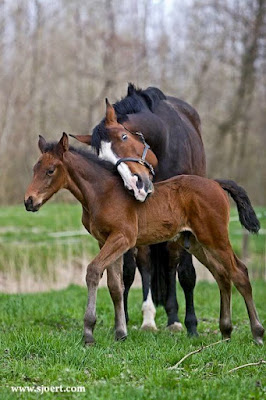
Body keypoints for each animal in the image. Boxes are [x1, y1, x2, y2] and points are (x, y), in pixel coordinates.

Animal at [24, 134, 264, 344]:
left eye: (50, 170)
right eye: (34, 169)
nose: (29, 201)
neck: (103, 193)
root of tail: (215, 184)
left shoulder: (122, 238)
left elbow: (93, 271)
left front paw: (89, 332)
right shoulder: (106, 241)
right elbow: (115, 285)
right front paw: (120, 333)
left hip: (216, 238)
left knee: (240, 273)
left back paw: (257, 333)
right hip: (197, 243)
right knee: (222, 276)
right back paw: (226, 332)